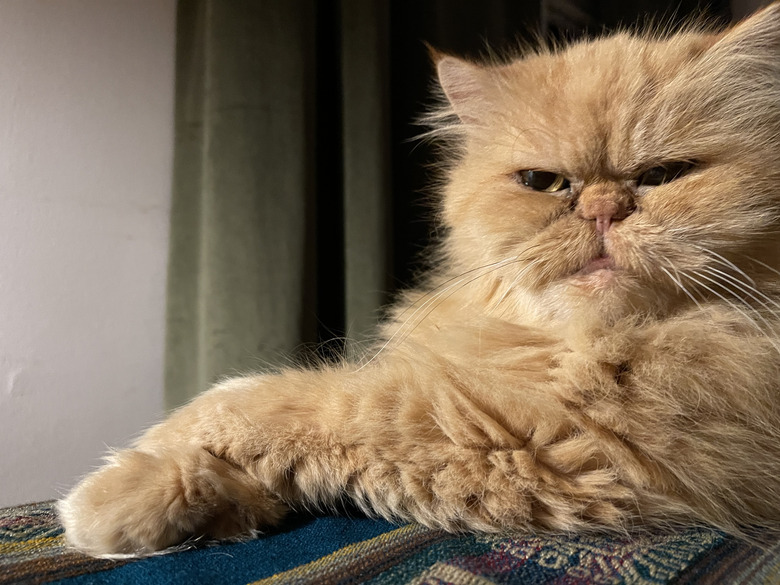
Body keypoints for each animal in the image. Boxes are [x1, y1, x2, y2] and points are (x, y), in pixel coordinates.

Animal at [62, 2, 780, 556]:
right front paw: (205, 504)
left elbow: (292, 400)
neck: (566, 344)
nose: (603, 208)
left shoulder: (574, 438)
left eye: (664, 176)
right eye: (543, 182)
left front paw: (111, 493)